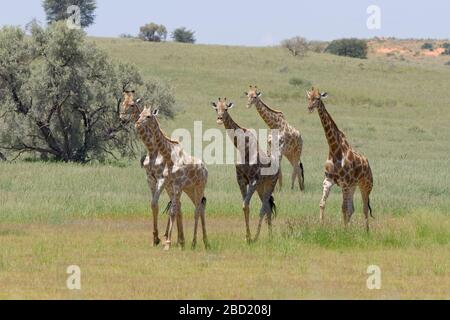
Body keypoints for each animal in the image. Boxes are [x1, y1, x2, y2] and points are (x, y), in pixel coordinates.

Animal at [135, 105, 209, 250]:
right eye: (140, 114)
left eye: (148, 116)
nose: (137, 124)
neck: (168, 156)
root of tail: (205, 168)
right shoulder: (159, 181)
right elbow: (158, 205)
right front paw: (157, 239)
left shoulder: (174, 183)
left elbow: (172, 210)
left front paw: (167, 243)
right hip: (190, 189)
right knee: (199, 207)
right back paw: (202, 242)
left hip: (199, 187)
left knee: (197, 209)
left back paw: (194, 243)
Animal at [210, 97, 278, 242]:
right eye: (216, 108)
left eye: (226, 109)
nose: (219, 119)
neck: (242, 147)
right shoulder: (241, 180)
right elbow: (245, 206)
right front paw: (247, 237)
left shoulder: (252, 180)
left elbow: (245, 205)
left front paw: (249, 238)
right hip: (261, 186)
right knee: (268, 208)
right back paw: (269, 237)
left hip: (270, 184)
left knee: (264, 207)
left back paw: (260, 237)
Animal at [304, 87, 374, 231]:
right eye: (308, 97)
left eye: (318, 98)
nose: (309, 107)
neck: (334, 149)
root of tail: (368, 164)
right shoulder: (328, 180)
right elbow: (322, 203)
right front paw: (321, 227)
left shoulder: (344, 183)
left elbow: (343, 208)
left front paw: (344, 231)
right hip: (353, 186)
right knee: (353, 208)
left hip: (366, 185)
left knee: (364, 208)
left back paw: (366, 231)